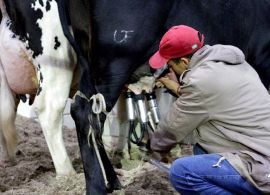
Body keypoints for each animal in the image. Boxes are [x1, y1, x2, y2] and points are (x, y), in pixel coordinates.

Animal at [58, 0, 270, 194]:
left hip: (88, 52)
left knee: (85, 110)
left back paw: (112, 181)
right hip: (116, 58)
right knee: (89, 112)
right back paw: (98, 187)